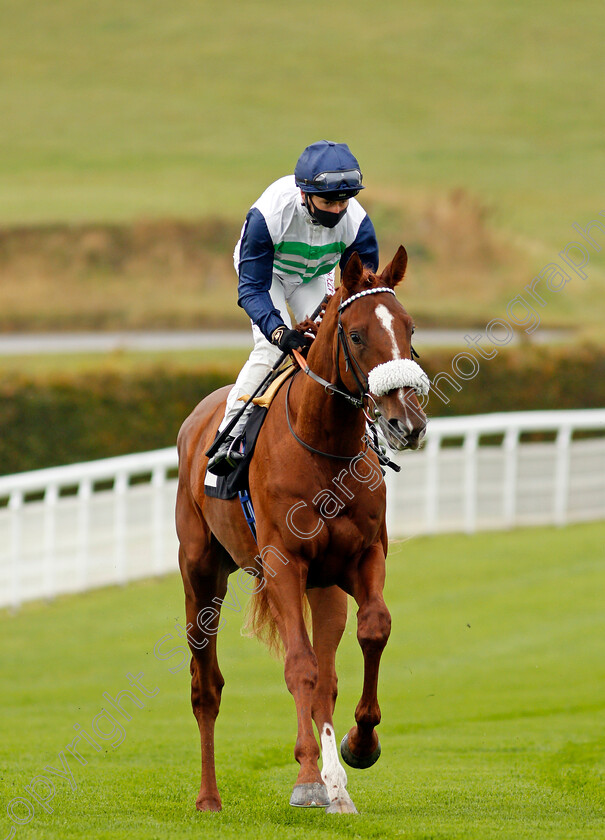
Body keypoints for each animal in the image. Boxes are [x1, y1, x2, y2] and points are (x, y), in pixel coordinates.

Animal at [176, 244, 430, 812]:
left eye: (409, 327)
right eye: (356, 334)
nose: (407, 423)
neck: (325, 446)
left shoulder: (362, 556)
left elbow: (372, 630)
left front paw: (360, 746)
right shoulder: (284, 565)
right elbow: (299, 667)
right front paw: (309, 778)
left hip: (324, 587)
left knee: (328, 677)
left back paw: (340, 786)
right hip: (201, 573)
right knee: (206, 687)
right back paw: (208, 797)